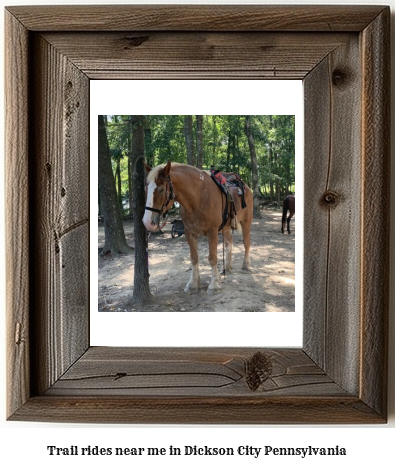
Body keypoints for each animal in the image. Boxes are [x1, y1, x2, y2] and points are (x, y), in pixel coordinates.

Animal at [143, 162, 254, 294]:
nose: (147, 222)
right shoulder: (189, 233)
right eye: (146, 189)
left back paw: (246, 265)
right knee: (229, 243)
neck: (198, 197)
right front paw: (193, 284)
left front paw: (214, 284)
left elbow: (212, 258)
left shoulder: (212, 232)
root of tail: (246, 187)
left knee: (246, 243)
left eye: (161, 189)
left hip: (246, 221)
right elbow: (194, 258)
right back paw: (227, 267)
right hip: (226, 227)